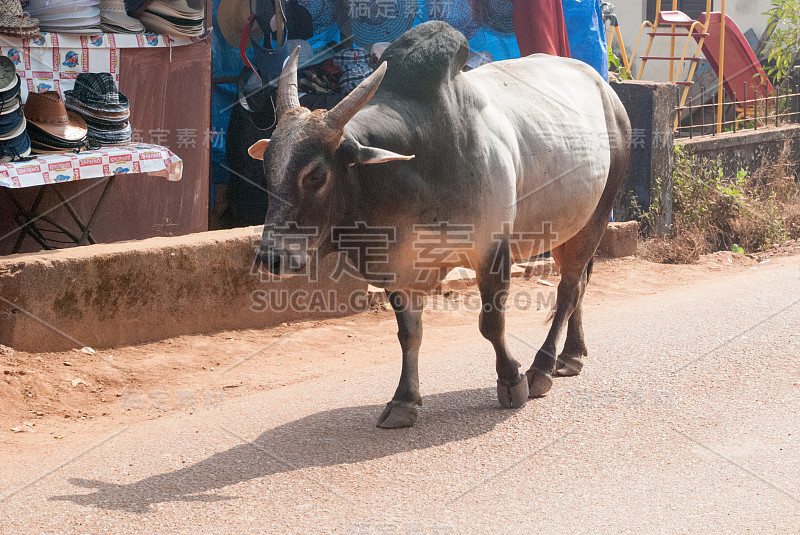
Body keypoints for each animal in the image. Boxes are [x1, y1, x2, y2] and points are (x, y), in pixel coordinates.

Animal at [250, 23, 632, 430]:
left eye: (316, 175)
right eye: (268, 167)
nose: (271, 258)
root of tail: (606, 89)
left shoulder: (491, 250)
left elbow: (491, 324)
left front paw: (511, 381)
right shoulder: (402, 268)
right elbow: (409, 334)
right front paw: (404, 400)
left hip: (595, 217)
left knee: (569, 289)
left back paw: (543, 367)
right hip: (572, 227)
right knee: (579, 285)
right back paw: (571, 354)